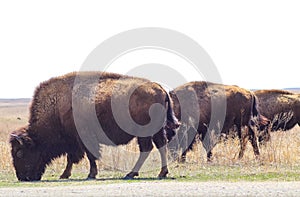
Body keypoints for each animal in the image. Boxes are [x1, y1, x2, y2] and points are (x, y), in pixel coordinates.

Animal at [9, 71, 179, 181]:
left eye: (20, 153)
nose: (22, 178)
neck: (57, 106)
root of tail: (160, 88)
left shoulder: (83, 138)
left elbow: (88, 156)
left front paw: (90, 175)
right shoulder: (74, 141)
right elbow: (73, 158)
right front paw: (65, 175)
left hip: (145, 132)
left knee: (148, 148)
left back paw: (132, 174)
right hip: (156, 131)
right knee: (160, 146)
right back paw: (160, 173)